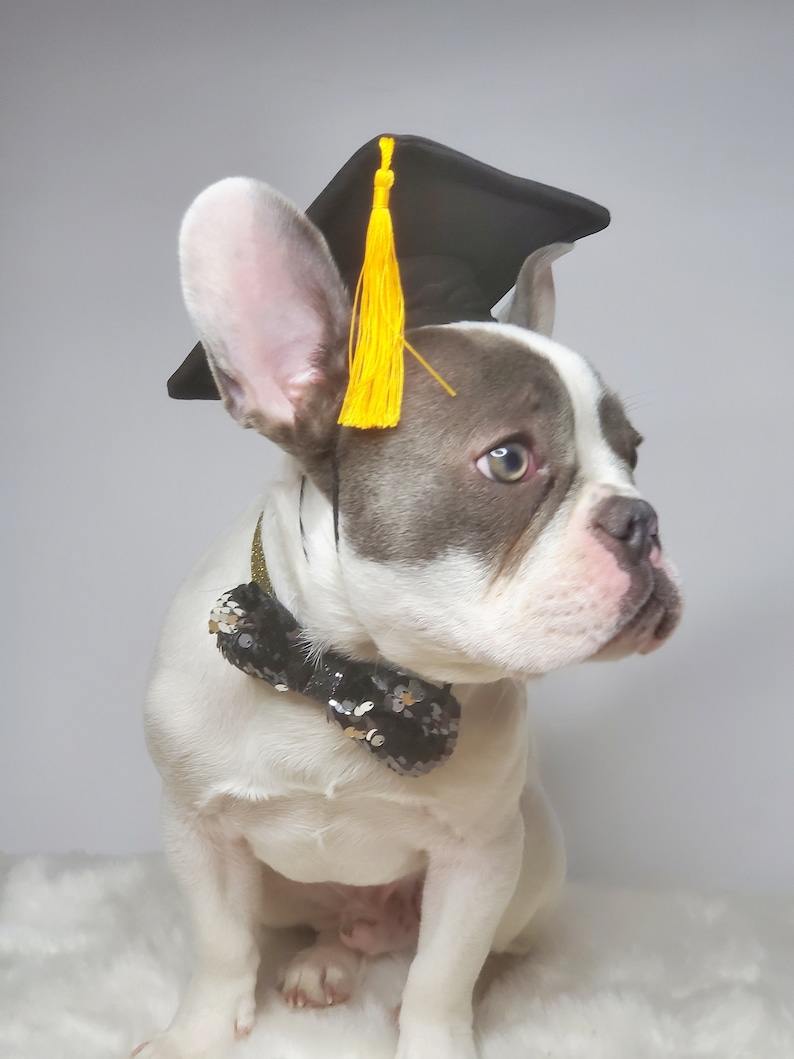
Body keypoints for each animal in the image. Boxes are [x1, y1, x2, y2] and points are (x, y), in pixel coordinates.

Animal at [138, 175, 686, 1059]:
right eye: (509, 459)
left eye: (633, 454)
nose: (642, 518)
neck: (342, 673)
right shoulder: (200, 830)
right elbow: (221, 947)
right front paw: (197, 1034)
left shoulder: (479, 857)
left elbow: (441, 974)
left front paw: (436, 1036)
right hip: (284, 889)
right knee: (317, 927)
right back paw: (324, 960)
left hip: (535, 851)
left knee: (481, 951)